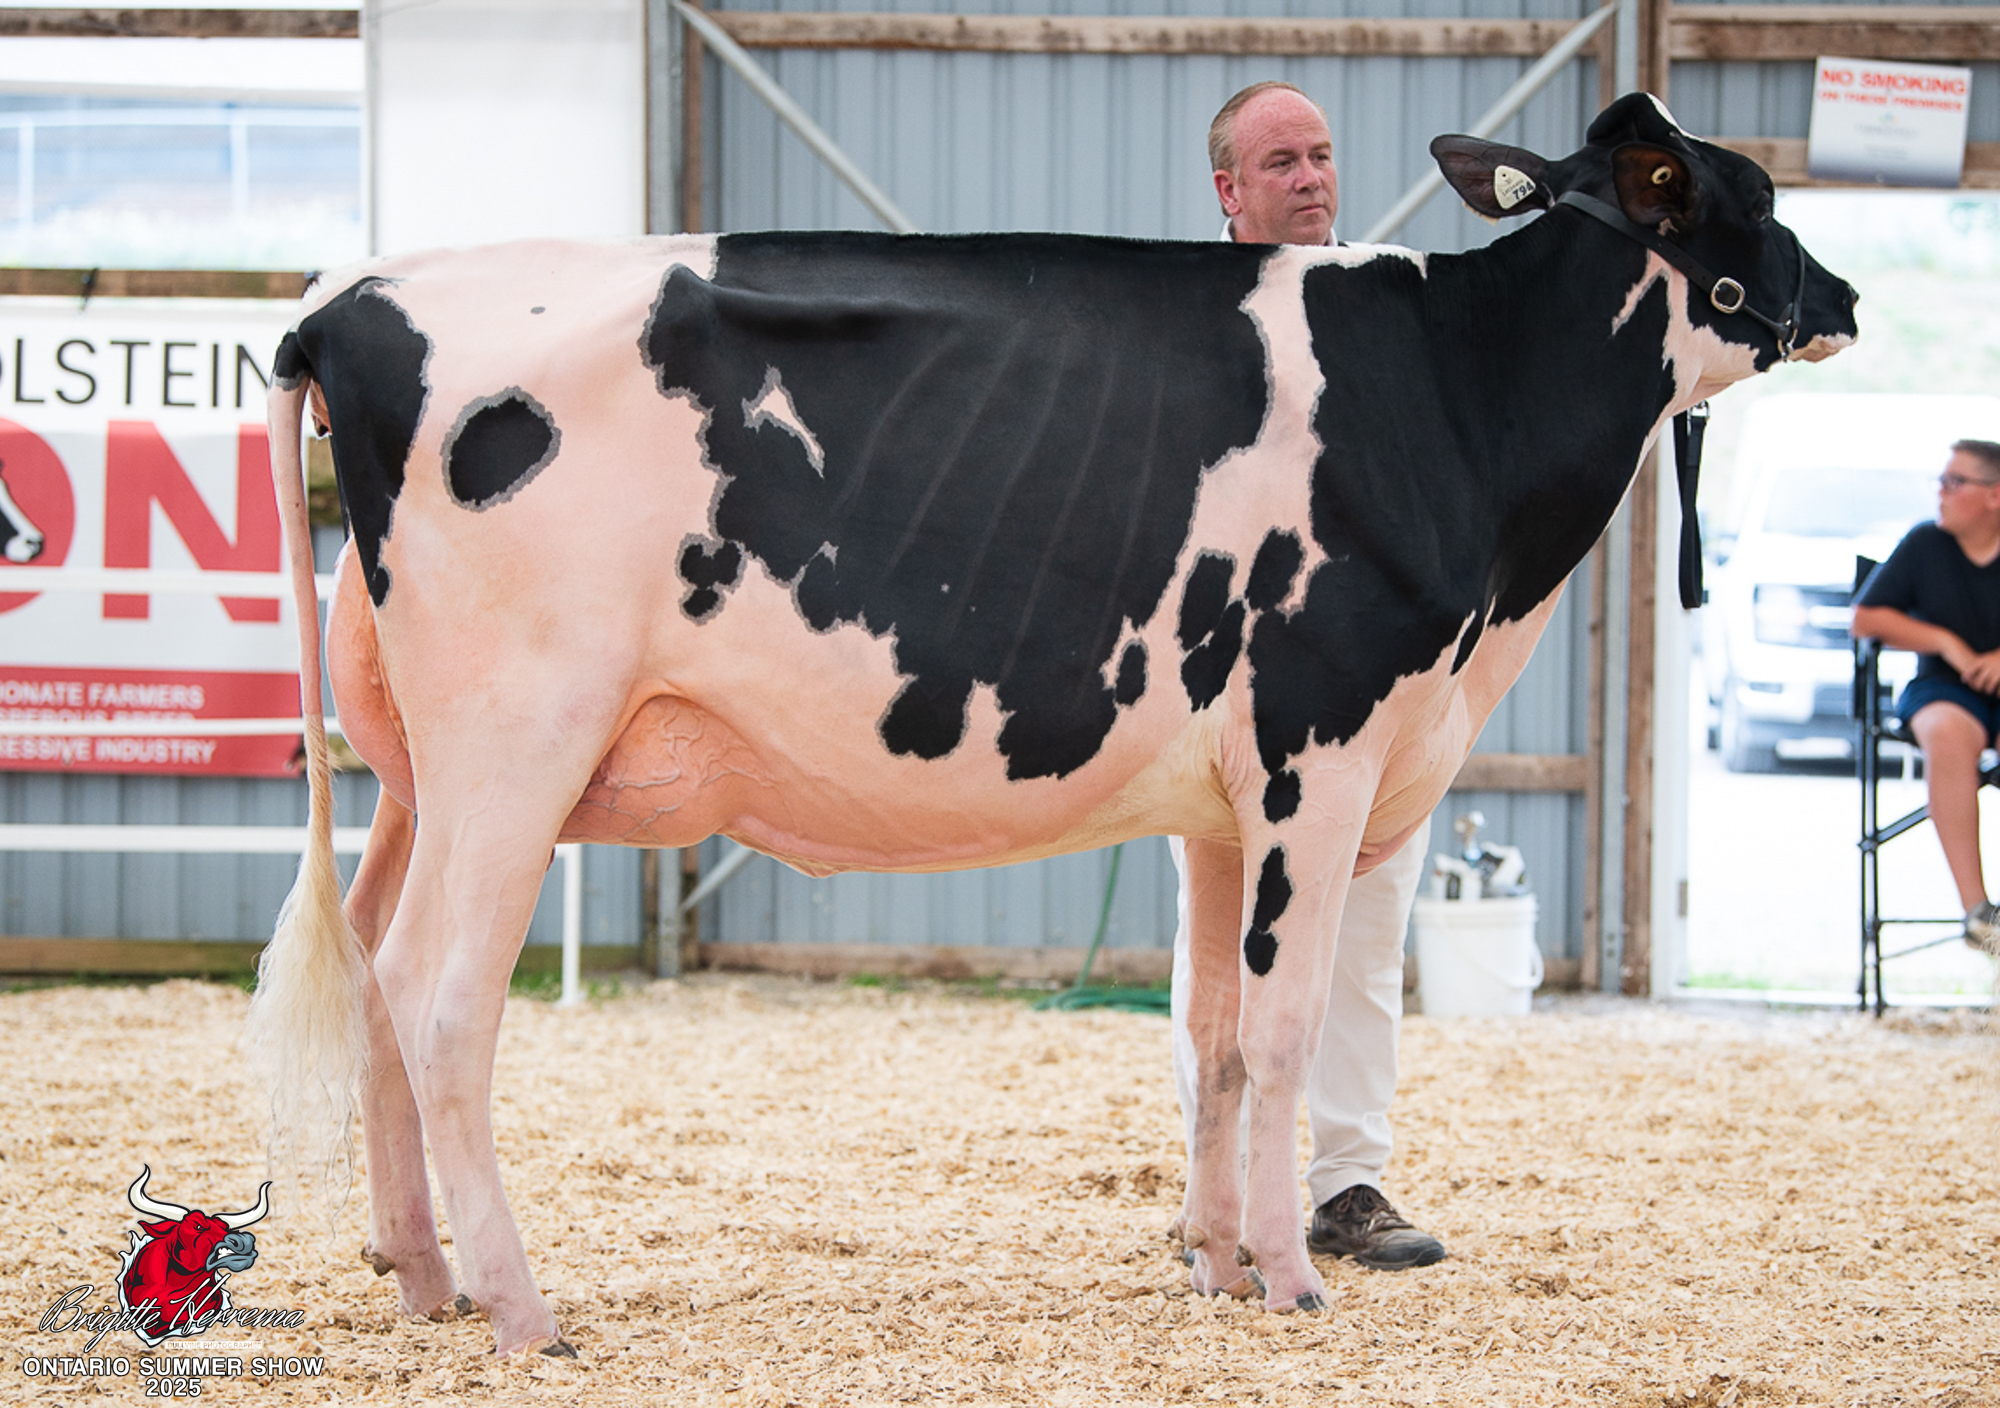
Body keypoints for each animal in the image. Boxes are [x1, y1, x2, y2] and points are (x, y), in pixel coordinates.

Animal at [243, 94, 1855, 1355]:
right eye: (1753, 196)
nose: (1839, 299)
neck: (1458, 399)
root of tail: (351, 296)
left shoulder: (1223, 802)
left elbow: (1210, 1034)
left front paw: (1214, 1265)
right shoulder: (1318, 751)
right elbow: (1281, 1029)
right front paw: (1288, 1279)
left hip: (417, 772)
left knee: (374, 968)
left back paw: (423, 1277)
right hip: (518, 746)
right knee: (442, 996)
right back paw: (521, 1309)